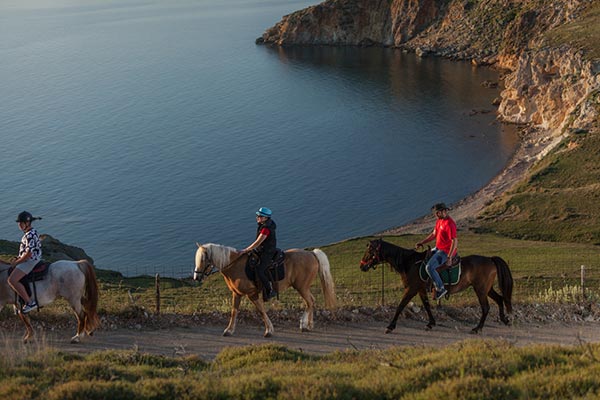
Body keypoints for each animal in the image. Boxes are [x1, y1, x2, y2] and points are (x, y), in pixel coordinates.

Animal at [193, 244, 338, 338]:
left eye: (203, 259)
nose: (196, 277)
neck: (235, 265)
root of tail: (312, 254)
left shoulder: (252, 294)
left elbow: (261, 310)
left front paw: (269, 330)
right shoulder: (237, 293)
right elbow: (234, 311)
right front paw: (229, 330)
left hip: (301, 286)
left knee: (310, 302)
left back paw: (305, 324)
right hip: (303, 287)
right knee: (311, 301)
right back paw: (307, 324)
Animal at [358, 239, 512, 332]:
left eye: (370, 251)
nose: (362, 266)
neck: (409, 263)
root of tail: (490, 259)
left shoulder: (411, 289)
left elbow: (401, 305)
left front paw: (390, 326)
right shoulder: (420, 289)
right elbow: (426, 306)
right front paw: (431, 323)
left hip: (480, 289)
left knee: (486, 307)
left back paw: (477, 328)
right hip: (487, 289)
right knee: (500, 299)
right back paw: (504, 319)